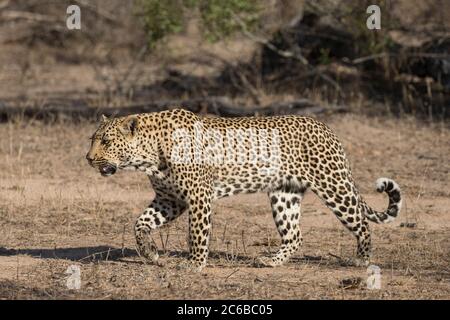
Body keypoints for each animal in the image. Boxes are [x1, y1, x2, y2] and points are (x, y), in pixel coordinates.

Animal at [86, 109, 402, 272]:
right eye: (92, 139)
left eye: (106, 141)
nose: (88, 158)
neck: (148, 155)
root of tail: (327, 128)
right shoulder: (170, 199)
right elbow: (140, 223)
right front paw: (150, 253)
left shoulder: (198, 197)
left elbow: (196, 234)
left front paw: (194, 264)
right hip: (284, 195)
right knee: (295, 235)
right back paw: (272, 261)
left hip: (333, 186)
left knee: (361, 223)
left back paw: (361, 259)